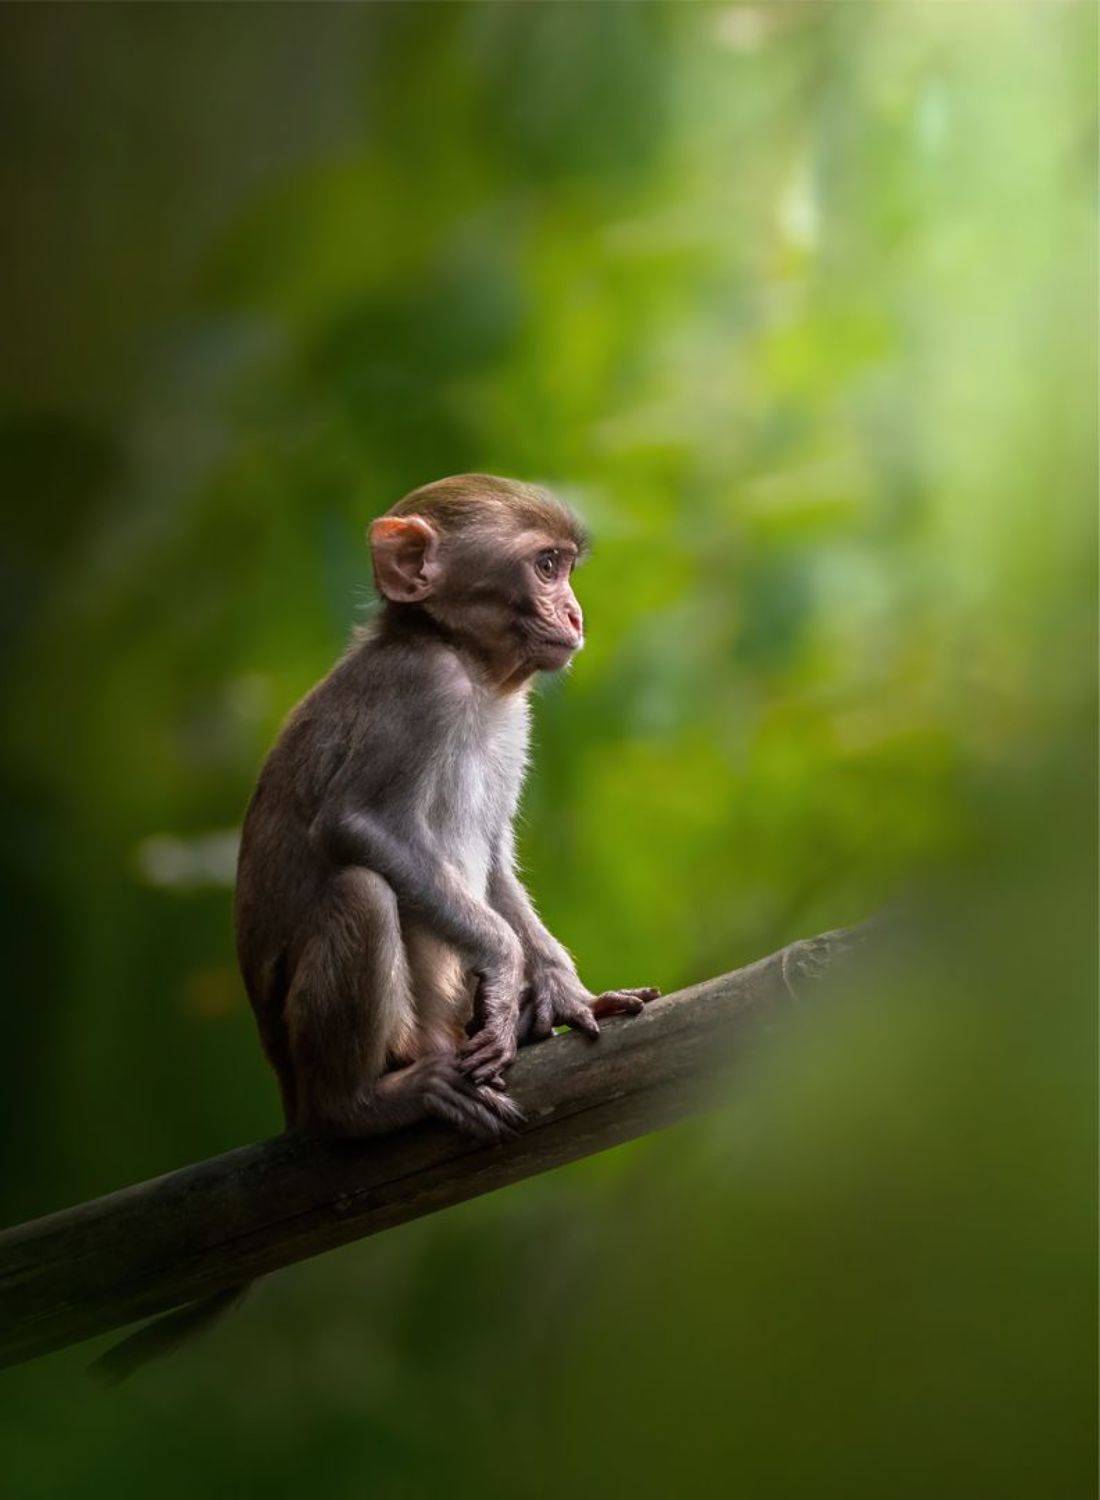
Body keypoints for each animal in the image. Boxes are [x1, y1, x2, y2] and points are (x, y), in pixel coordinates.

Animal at [91, 474, 657, 1382]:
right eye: (546, 566)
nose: (574, 613)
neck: (472, 669)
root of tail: (286, 1083)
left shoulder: (515, 720)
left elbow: (494, 863)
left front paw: (565, 995)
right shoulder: (417, 695)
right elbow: (358, 829)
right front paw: (507, 970)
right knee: (361, 893)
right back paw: (365, 1103)